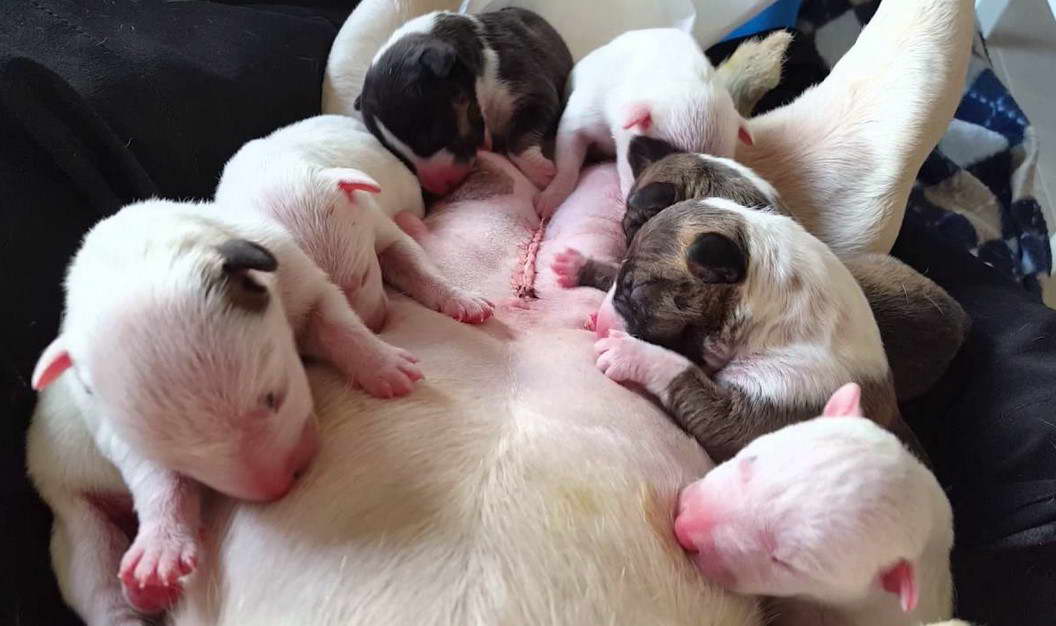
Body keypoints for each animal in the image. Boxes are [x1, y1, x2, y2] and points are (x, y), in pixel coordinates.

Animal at [217, 114, 494, 384]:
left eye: (365, 275)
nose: (376, 326)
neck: (276, 173)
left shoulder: (378, 222)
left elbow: (416, 264)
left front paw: (464, 300)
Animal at [354, 7, 570, 195]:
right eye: (399, 157)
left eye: (432, 134)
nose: (439, 190)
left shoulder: (529, 88)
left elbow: (518, 139)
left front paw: (543, 174)